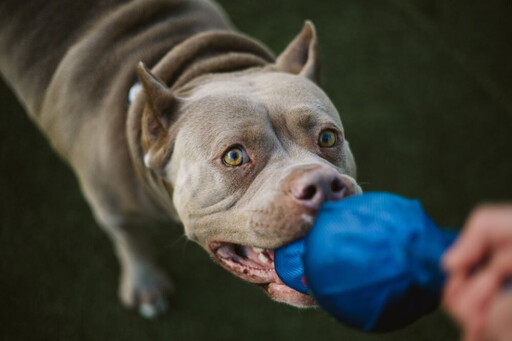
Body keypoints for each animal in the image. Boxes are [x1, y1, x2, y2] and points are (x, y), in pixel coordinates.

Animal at [0, 0, 360, 316]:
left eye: (328, 137)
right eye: (234, 156)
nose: (323, 184)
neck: (202, 69)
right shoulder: (112, 208)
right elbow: (129, 239)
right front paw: (145, 286)